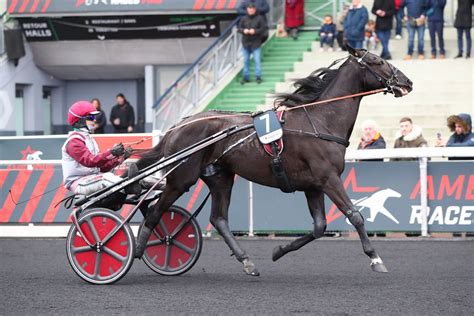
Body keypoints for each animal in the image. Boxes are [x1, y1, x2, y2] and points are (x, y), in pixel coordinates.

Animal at [133, 47, 412, 276]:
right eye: (378, 61)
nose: (407, 81)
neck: (320, 120)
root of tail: (177, 125)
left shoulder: (313, 186)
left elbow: (319, 227)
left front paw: (279, 250)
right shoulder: (328, 178)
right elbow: (355, 215)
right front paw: (375, 259)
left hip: (221, 177)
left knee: (219, 219)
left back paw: (246, 261)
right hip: (182, 177)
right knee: (156, 210)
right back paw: (140, 248)